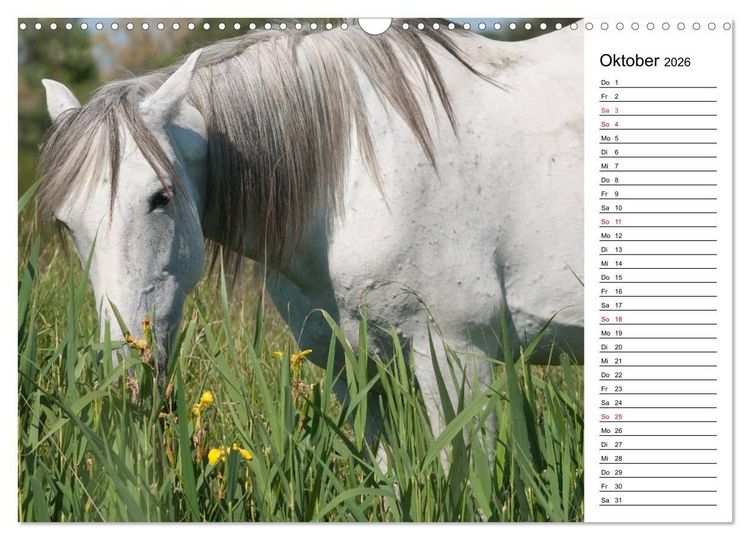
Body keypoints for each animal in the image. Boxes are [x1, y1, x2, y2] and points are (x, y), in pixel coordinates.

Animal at [37, 20, 583, 455]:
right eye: (67, 222)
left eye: (160, 197)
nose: (125, 369)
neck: (354, 174)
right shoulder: (351, 368)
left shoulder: (459, 357)